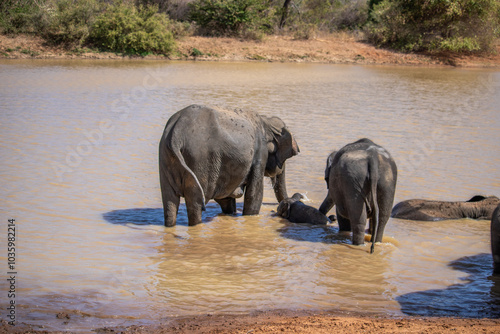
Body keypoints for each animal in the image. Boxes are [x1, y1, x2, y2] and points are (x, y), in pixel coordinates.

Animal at [159, 103, 300, 226]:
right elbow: (254, 193)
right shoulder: (260, 153)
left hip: (166, 158)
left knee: (169, 202)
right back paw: (197, 224)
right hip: (199, 160)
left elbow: (225, 197)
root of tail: (176, 133)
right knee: (196, 202)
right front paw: (250, 215)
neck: (266, 120)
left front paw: (231, 213)